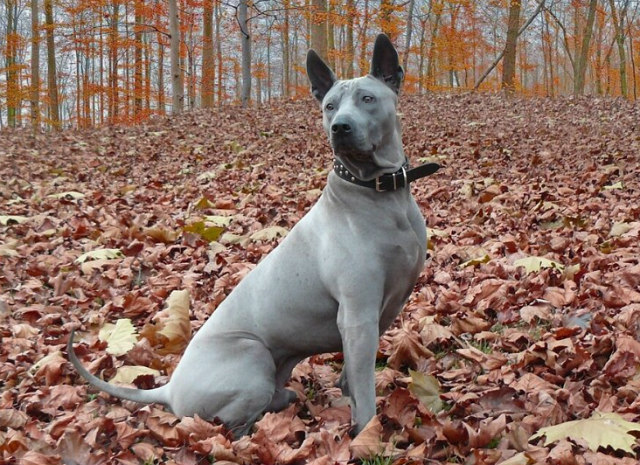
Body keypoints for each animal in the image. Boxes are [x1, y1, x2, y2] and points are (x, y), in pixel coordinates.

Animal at [70, 34, 440, 436]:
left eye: (367, 99)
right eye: (329, 106)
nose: (340, 127)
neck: (379, 191)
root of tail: (167, 389)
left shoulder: (379, 312)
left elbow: (351, 378)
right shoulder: (357, 316)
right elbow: (364, 388)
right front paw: (368, 432)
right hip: (252, 354)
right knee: (231, 424)